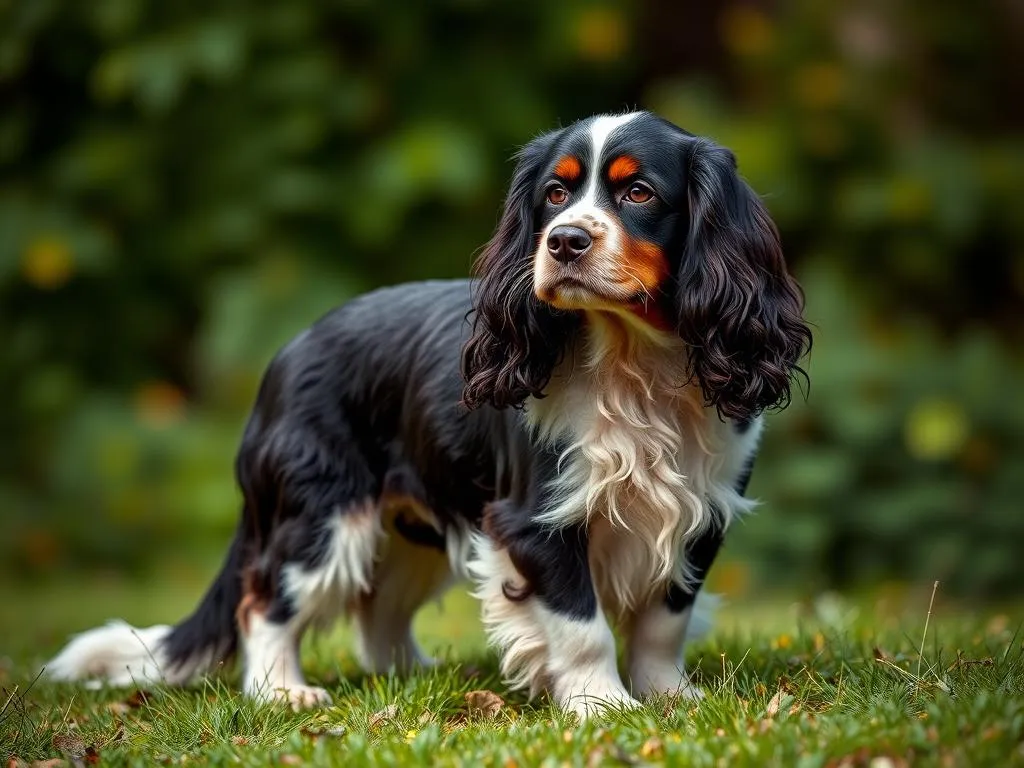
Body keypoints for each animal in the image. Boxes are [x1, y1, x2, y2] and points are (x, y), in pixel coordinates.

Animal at [48, 111, 811, 720]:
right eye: (555, 194)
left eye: (639, 193)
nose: (563, 240)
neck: (631, 363)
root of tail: (287, 352)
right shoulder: (535, 520)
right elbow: (582, 622)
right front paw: (602, 704)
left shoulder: (700, 510)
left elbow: (662, 621)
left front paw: (666, 694)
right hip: (320, 514)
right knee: (265, 598)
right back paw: (281, 690)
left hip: (408, 528)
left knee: (377, 613)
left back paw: (418, 678)